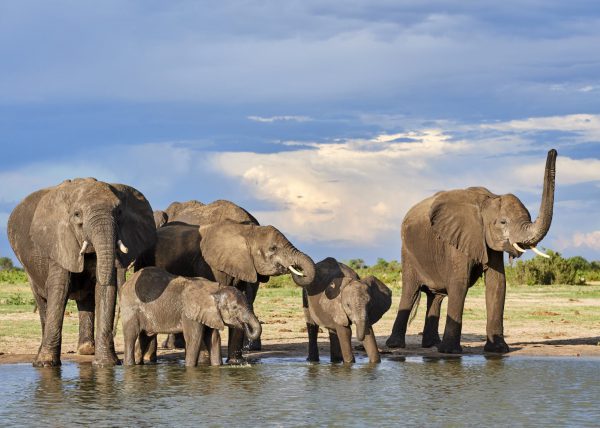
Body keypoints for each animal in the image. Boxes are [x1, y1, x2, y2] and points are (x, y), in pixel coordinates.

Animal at [7, 179, 156, 366]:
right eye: (77, 214)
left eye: (119, 212)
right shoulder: (59, 241)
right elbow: (60, 288)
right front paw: (46, 363)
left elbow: (105, 289)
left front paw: (106, 364)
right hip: (29, 269)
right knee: (42, 301)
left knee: (86, 299)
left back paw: (87, 350)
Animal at [120, 266, 262, 366]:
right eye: (235, 308)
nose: (244, 325)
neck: (215, 291)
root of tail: (127, 283)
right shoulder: (190, 314)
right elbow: (195, 339)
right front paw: (190, 368)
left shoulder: (210, 314)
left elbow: (214, 339)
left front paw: (217, 366)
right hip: (130, 309)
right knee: (131, 336)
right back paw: (129, 365)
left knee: (145, 337)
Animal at [384, 150, 556, 354]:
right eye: (503, 222)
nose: (553, 151)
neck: (487, 201)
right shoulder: (458, 238)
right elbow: (460, 282)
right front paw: (450, 352)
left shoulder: (487, 241)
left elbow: (497, 283)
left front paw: (498, 351)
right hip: (408, 252)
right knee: (410, 292)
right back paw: (396, 345)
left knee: (436, 297)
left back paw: (432, 345)